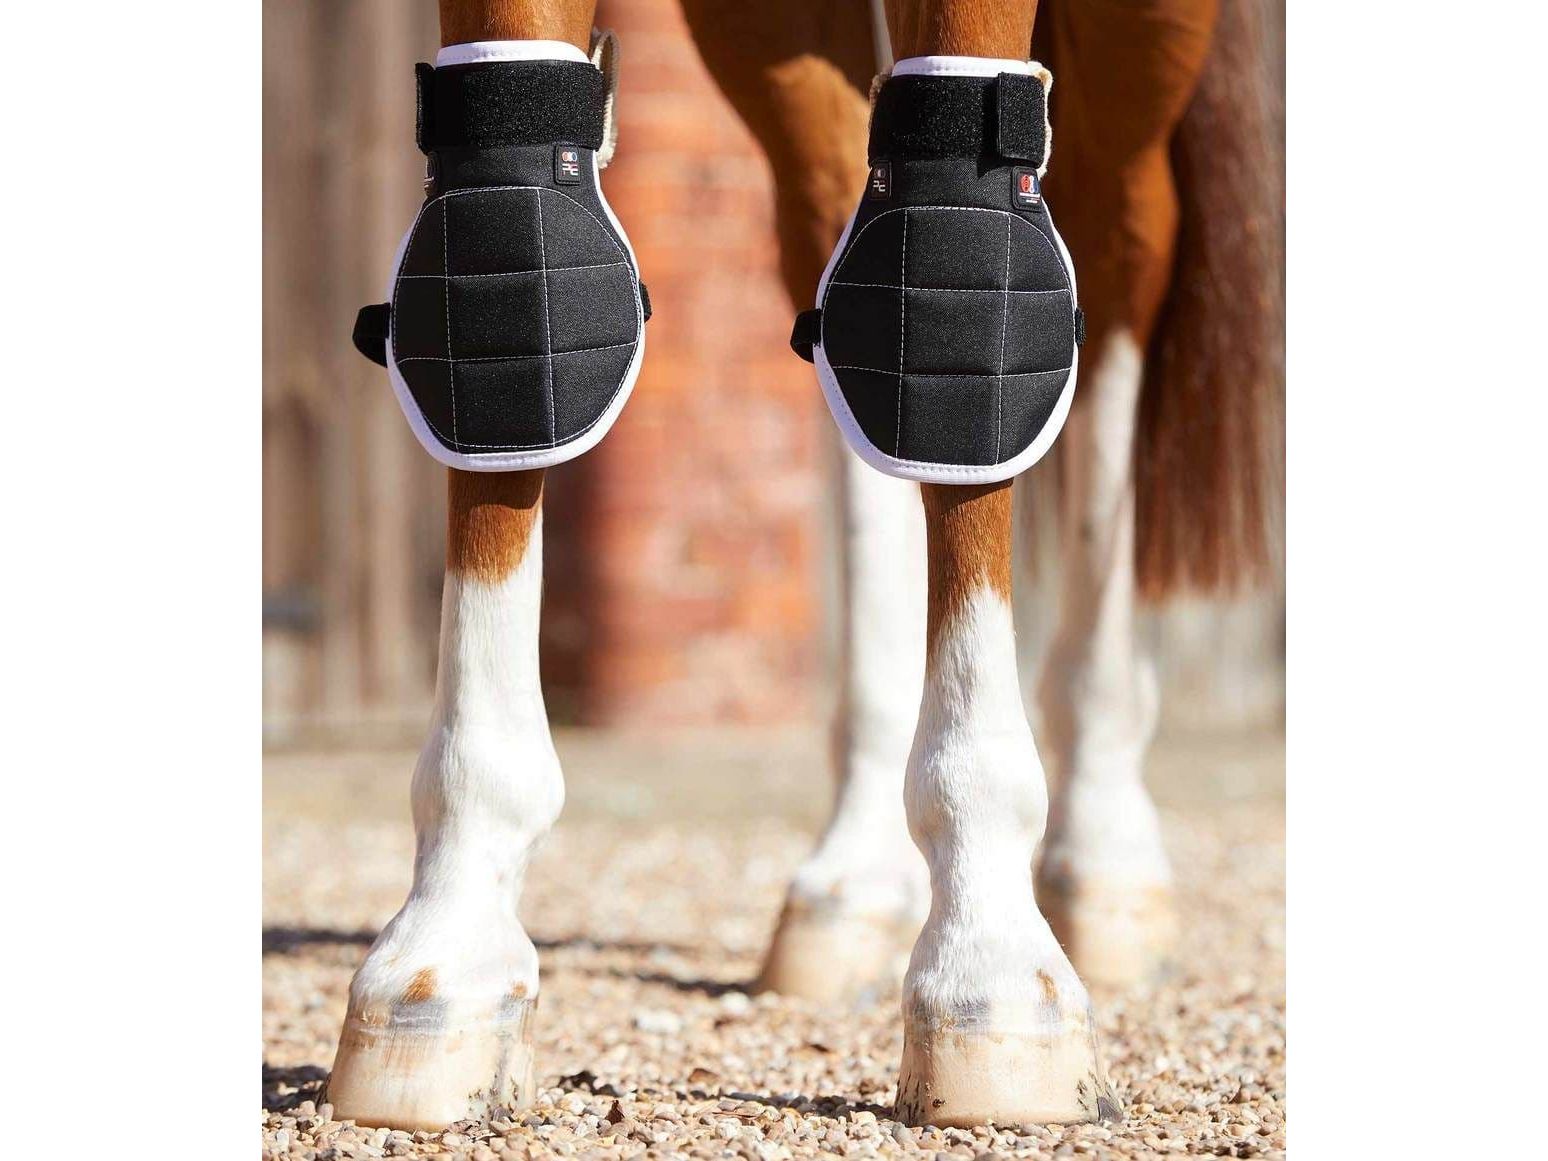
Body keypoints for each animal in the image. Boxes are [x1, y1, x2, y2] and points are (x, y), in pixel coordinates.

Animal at [322, 0, 1279, 1132]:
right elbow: (500, 208)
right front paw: (445, 955)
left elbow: (963, 236)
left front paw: (992, 973)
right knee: (836, 240)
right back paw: (858, 873)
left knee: (1123, 252)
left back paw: (1105, 856)